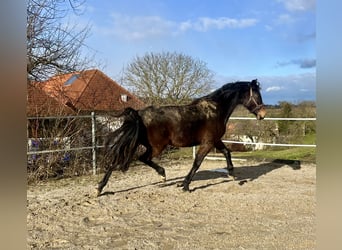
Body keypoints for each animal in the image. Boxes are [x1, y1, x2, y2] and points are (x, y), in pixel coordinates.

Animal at [97, 78, 266, 195]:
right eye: (257, 95)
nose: (263, 114)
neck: (216, 110)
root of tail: (139, 114)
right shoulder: (208, 143)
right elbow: (197, 163)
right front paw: (185, 185)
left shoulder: (215, 140)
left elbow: (226, 152)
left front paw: (231, 173)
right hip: (156, 147)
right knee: (141, 158)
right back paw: (162, 175)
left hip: (140, 143)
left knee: (118, 160)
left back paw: (100, 188)